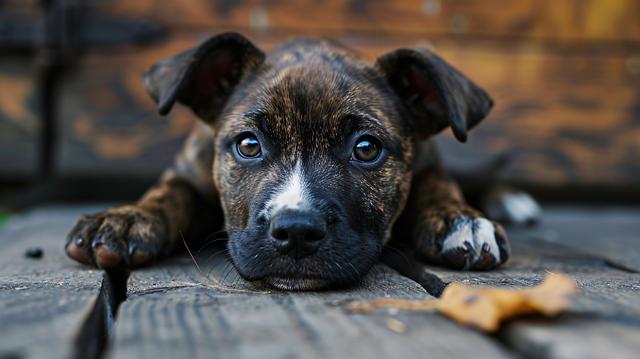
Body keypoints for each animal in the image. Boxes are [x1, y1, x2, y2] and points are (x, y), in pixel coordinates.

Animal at [66, 32, 510, 292]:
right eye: (249, 145)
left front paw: (460, 221)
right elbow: (168, 192)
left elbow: (439, 187)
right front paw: (126, 219)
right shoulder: (189, 172)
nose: (296, 230)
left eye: (366, 149)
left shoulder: (429, 164)